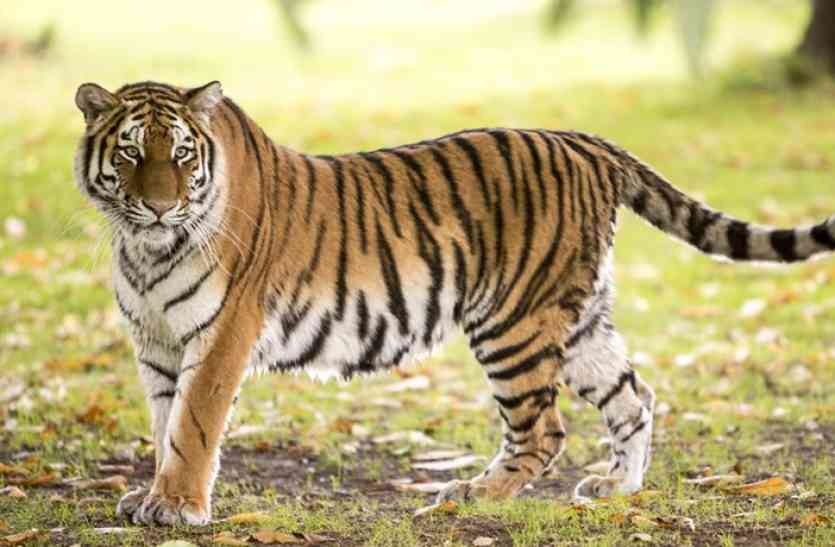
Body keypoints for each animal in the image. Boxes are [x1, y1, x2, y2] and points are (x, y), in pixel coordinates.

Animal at [73, 80, 835, 526]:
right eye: (133, 153)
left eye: (180, 154)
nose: (159, 205)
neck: (145, 248)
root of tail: (583, 141)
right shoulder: (158, 342)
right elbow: (166, 423)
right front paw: (152, 494)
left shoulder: (221, 333)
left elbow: (195, 425)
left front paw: (176, 506)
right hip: (578, 320)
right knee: (633, 394)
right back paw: (617, 488)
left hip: (513, 321)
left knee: (542, 429)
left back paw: (470, 496)